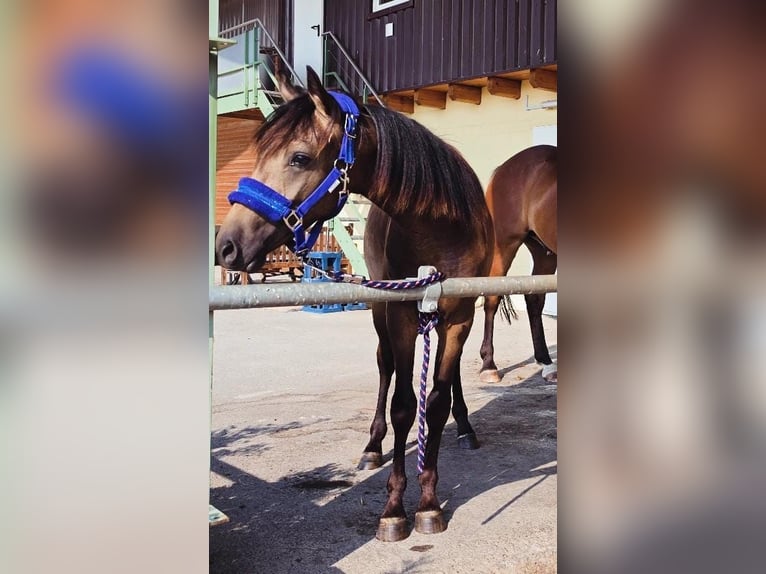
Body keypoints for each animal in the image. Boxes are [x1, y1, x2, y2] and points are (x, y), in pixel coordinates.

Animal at [215, 67, 494, 542]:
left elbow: (435, 401)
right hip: (382, 315)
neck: (444, 228)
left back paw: (466, 427)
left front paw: (430, 502)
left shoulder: (461, 315)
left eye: (300, 158)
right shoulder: (399, 315)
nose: (226, 246)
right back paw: (372, 446)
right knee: (385, 368)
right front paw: (396, 509)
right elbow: (403, 405)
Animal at [478, 146, 557, 383]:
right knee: (492, 299)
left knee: (534, 300)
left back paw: (546, 363)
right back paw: (489, 366)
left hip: (545, 253)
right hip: (504, 246)